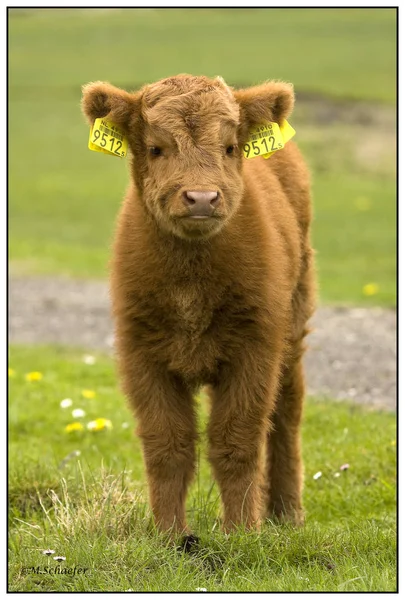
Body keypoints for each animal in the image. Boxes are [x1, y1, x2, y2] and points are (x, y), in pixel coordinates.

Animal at [81, 74, 316, 536]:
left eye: (229, 147)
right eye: (156, 148)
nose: (203, 198)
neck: (191, 284)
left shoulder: (255, 350)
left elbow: (237, 441)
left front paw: (242, 531)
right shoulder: (142, 354)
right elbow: (168, 444)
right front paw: (170, 535)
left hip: (293, 327)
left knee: (286, 414)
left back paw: (287, 513)